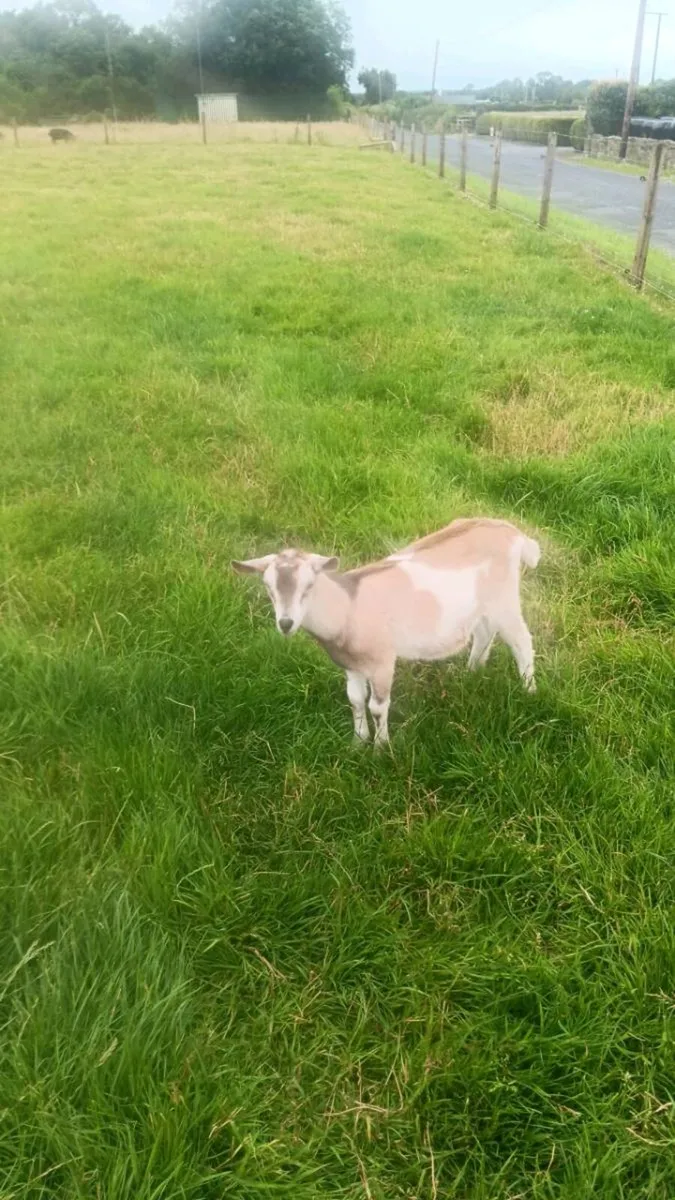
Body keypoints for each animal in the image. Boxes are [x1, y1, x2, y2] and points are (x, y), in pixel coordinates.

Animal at [232, 518, 541, 746]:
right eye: (269, 589)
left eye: (309, 586)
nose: (286, 623)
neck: (347, 607)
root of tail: (514, 533)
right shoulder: (350, 664)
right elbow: (355, 700)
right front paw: (358, 743)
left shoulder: (382, 660)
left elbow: (377, 707)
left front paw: (381, 749)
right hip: (482, 605)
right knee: (485, 632)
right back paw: (473, 671)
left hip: (504, 599)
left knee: (521, 641)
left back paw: (529, 689)